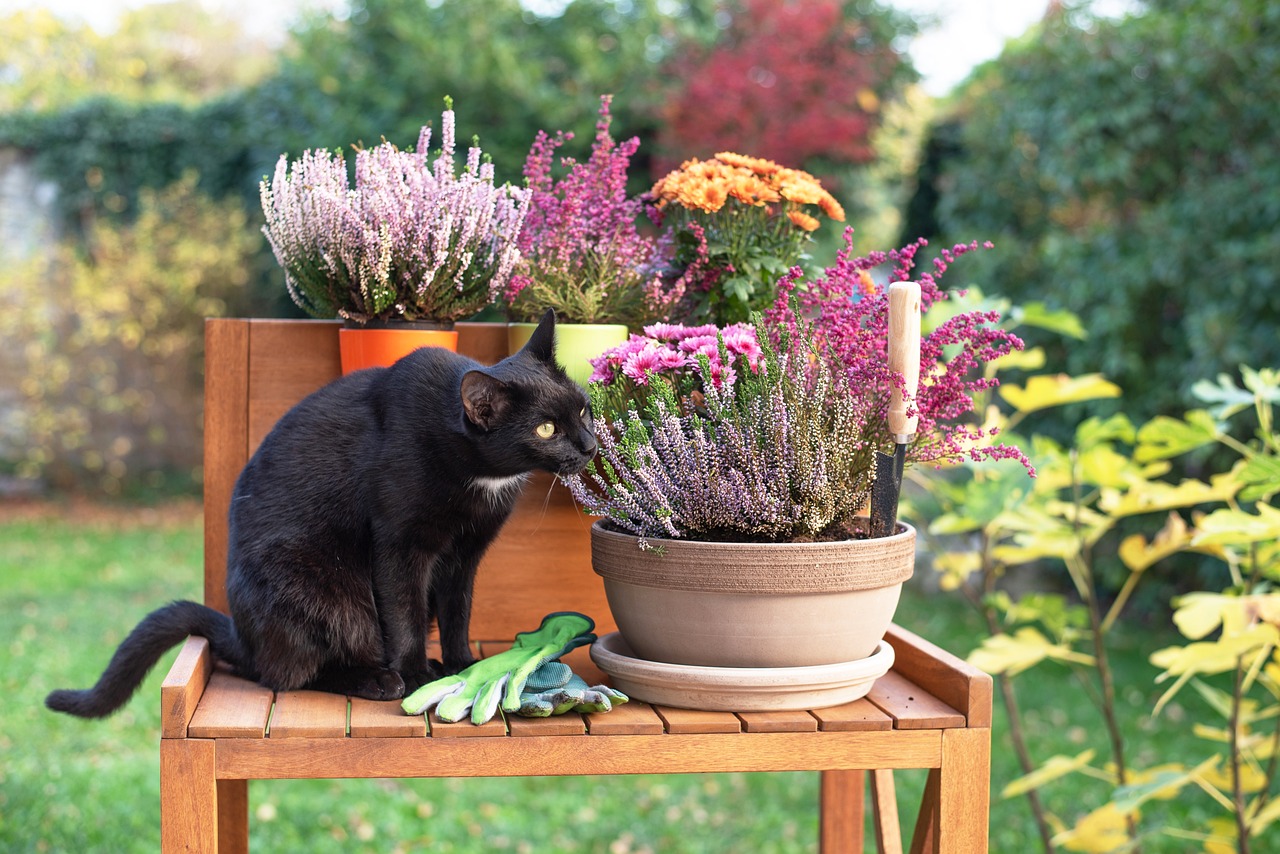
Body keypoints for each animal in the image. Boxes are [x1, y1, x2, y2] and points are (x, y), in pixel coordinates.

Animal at [45, 307, 593, 717]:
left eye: (583, 408)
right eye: (546, 428)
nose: (589, 444)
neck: (478, 473)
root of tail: (244, 637)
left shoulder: (464, 554)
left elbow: (458, 612)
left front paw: (461, 665)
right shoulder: (397, 545)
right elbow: (404, 613)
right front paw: (419, 673)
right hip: (321, 585)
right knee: (292, 672)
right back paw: (376, 679)